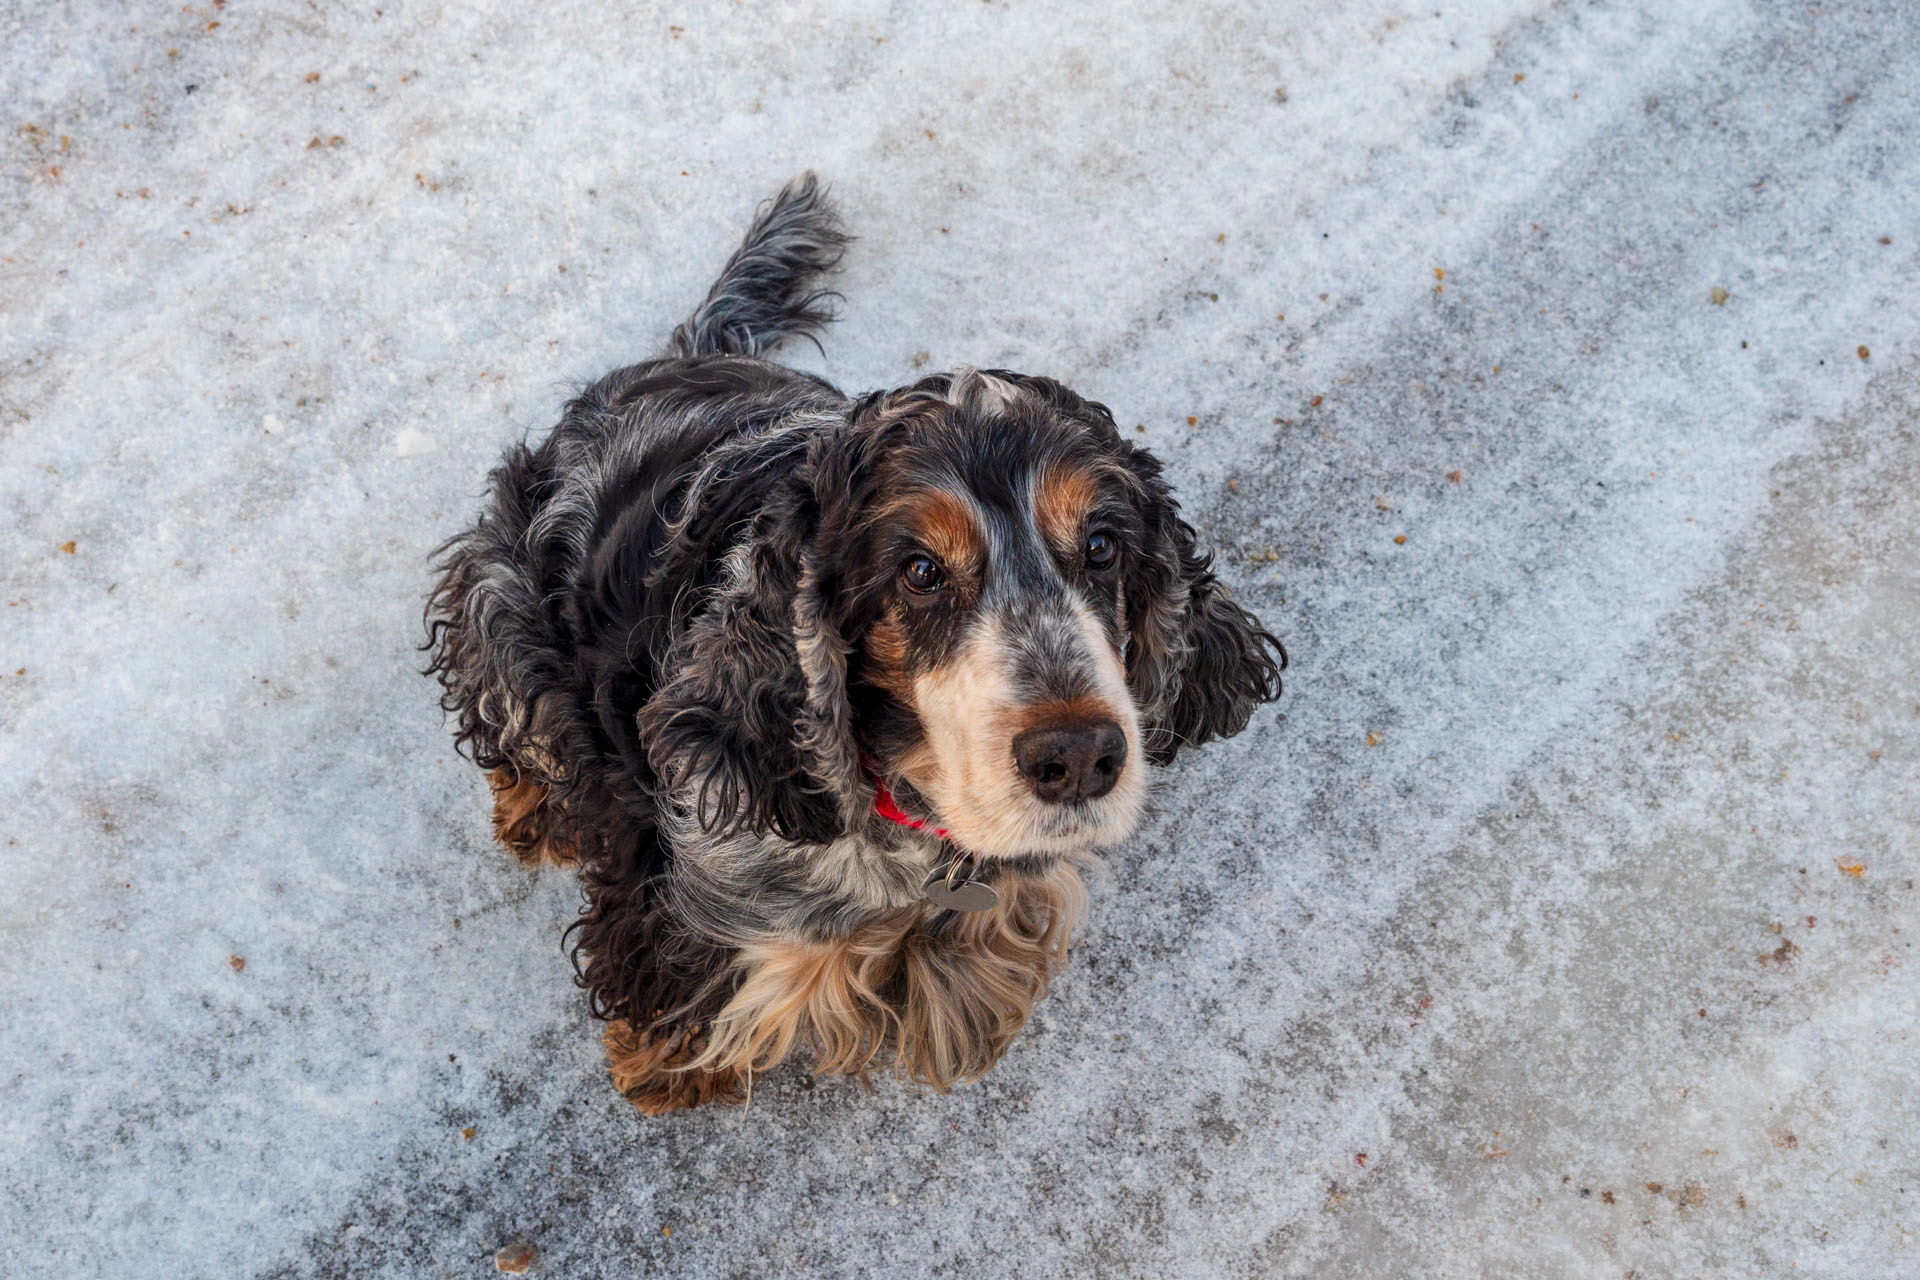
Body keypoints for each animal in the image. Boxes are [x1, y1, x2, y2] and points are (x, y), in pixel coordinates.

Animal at [428, 172, 1282, 1113]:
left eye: (1102, 546)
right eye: (919, 570)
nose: (1079, 756)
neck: (907, 828)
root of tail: (680, 354)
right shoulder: (683, 887)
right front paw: (663, 1069)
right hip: (498, 597)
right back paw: (534, 810)